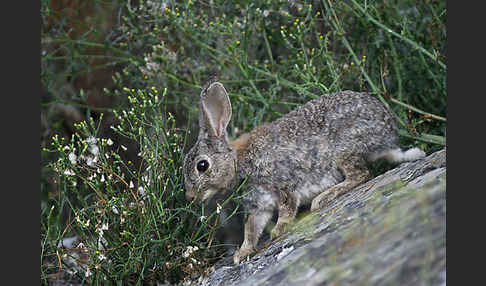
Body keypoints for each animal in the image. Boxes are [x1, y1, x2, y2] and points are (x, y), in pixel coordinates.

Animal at [182, 80, 426, 264]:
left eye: (202, 166)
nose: (190, 197)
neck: (239, 160)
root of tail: (389, 132)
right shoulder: (259, 205)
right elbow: (251, 229)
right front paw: (242, 254)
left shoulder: (282, 184)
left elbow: (287, 208)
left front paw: (278, 230)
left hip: (345, 150)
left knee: (360, 175)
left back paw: (322, 198)